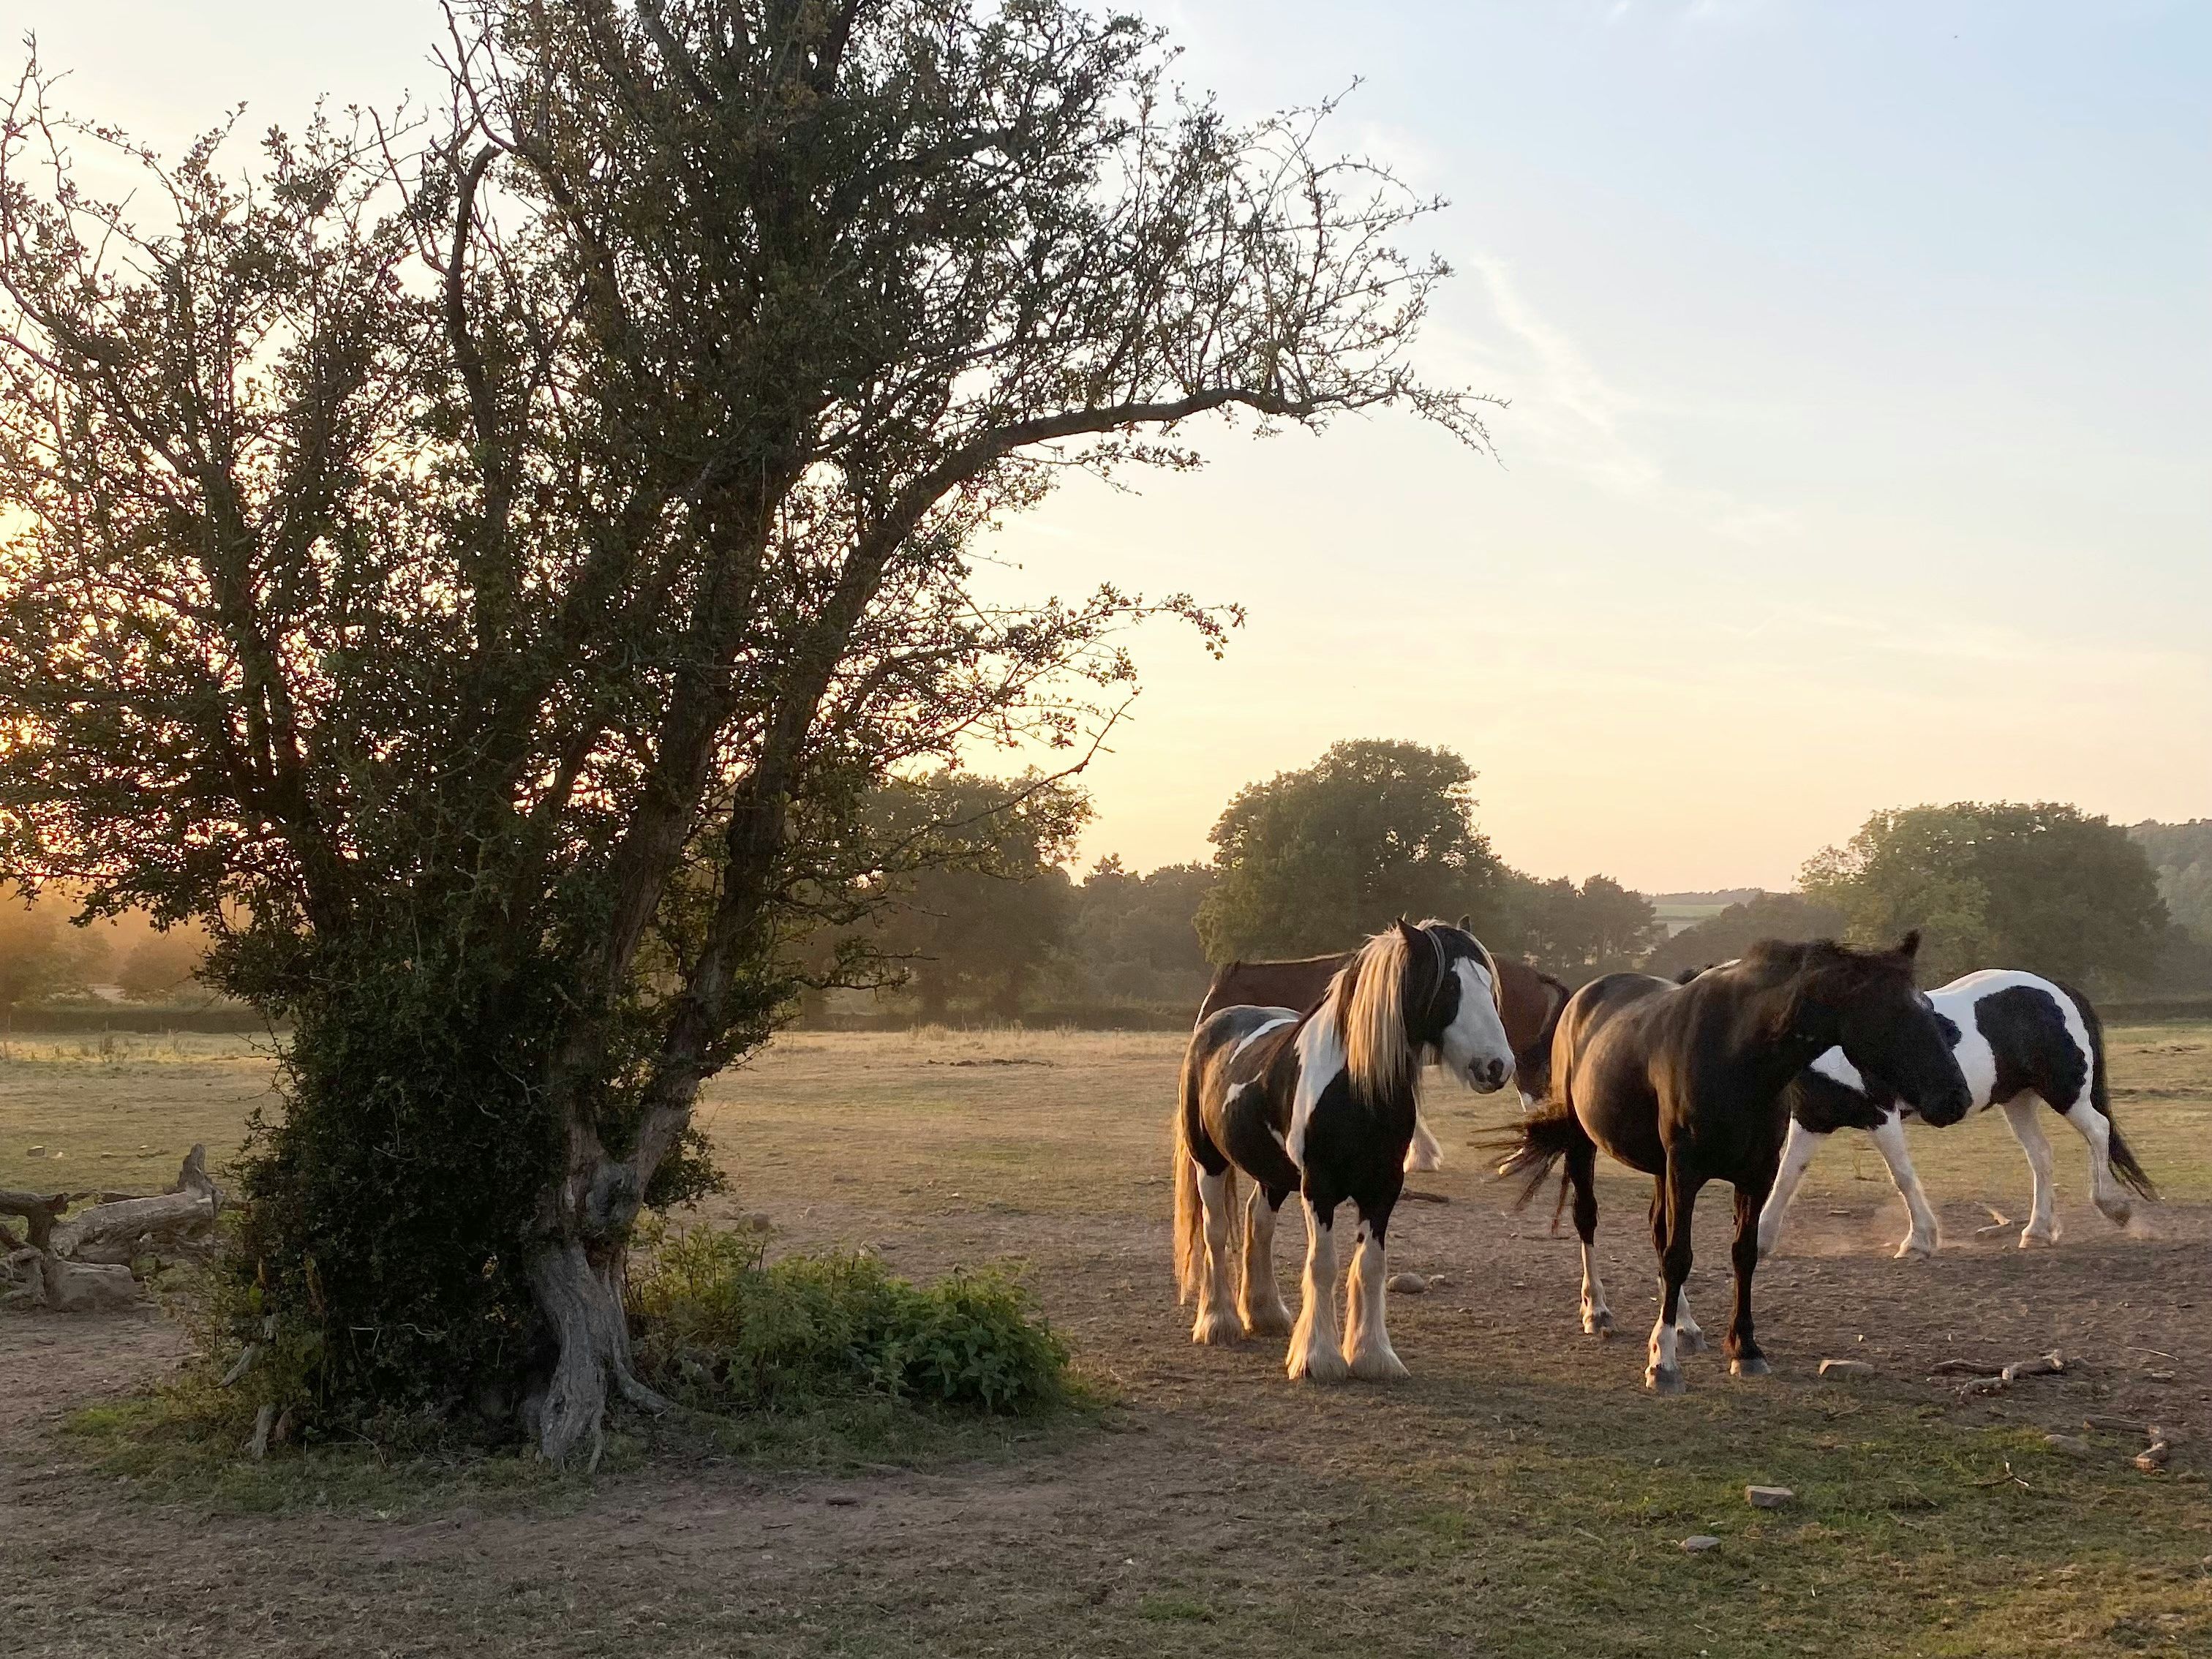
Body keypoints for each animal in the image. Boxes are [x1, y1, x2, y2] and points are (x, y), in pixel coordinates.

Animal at [1173, 918, 1518, 1382]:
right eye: (1449, 985)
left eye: (1489, 984)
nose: (1498, 1066)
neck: (1353, 1086)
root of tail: (1213, 1022)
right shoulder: (1319, 1188)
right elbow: (1323, 1265)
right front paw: (1318, 1358)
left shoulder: (1383, 1188)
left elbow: (1370, 1266)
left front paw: (1373, 1356)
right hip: (1208, 1161)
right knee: (1215, 1231)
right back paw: (1218, 1322)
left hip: (1275, 1175)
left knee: (1257, 1221)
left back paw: (1265, 1314)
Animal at [1491, 934, 1972, 1394]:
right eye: (1895, 1014)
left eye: (1929, 1010)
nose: (1957, 1098)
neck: (1737, 1058)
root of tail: (1582, 998)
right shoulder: (1685, 1170)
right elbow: (1679, 1255)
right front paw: (1662, 1363)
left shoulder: (1755, 1175)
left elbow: (1742, 1253)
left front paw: (1744, 1348)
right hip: (1585, 1143)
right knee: (1588, 1218)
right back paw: (1598, 1310)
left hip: (1658, 1166)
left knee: (1656, 1228)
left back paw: (1685, 1325)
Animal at [1756, 968, 2156, 1259]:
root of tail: (2055, 989)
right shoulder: (1813, 1120)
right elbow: (1787, 1176)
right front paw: (1760, 1241)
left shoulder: (1880, 1115)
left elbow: (1902, 1177)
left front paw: (1918, 1241)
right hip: (2019, 1100)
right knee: (2041, 1156)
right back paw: (2037, 1232)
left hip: (2066, 1092)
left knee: (2099, 1130)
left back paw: (2112, 1207)